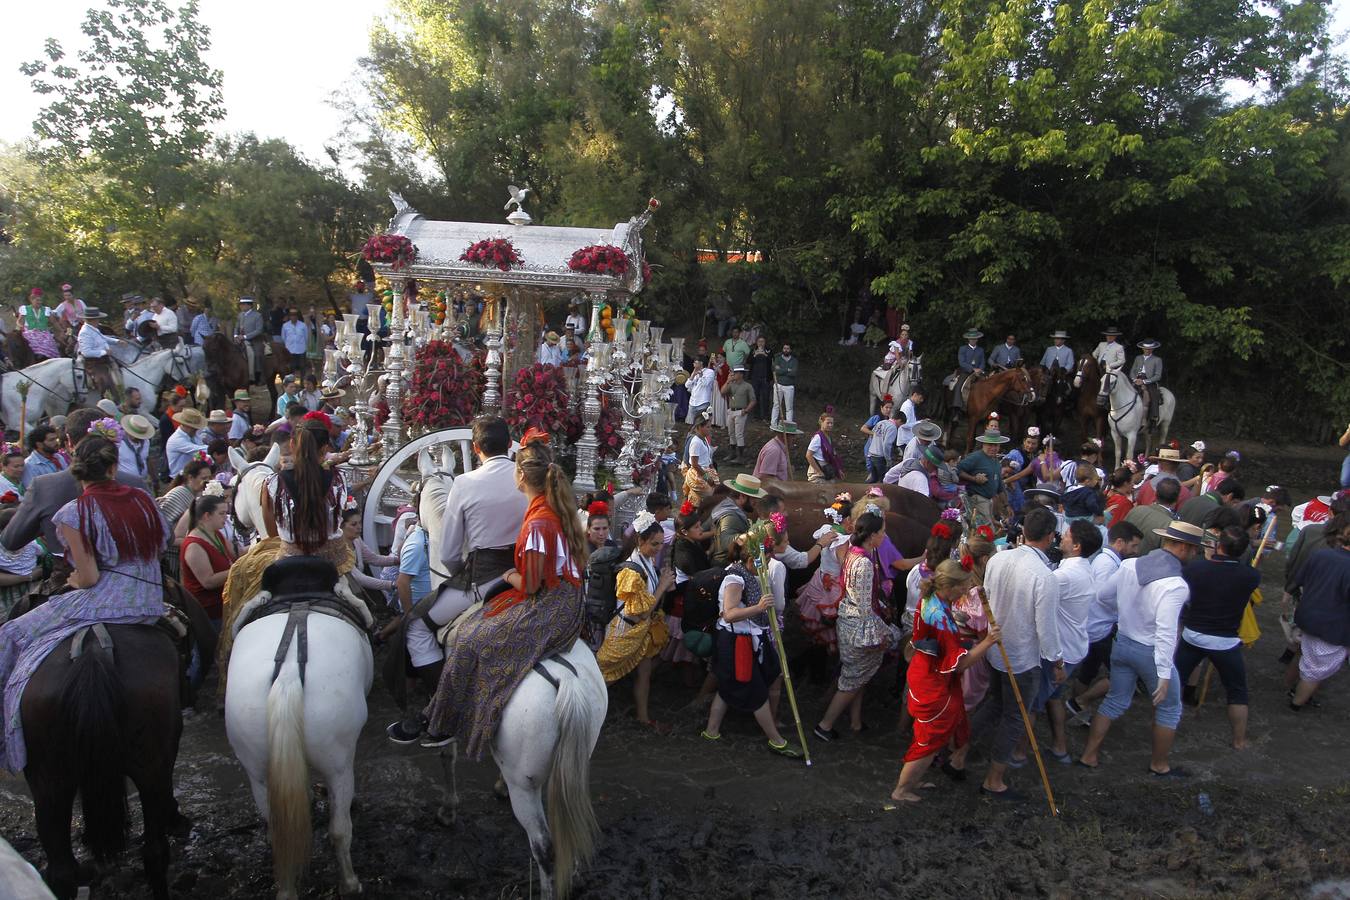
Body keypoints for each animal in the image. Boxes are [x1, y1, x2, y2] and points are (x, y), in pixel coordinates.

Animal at [225, 566, 375, 895]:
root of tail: (289, 675)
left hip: (257, 768)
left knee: (277, 832)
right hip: (337, 766)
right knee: (339, 829)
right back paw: (349, 883)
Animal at [415, 445, 612, 900]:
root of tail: (567, 685)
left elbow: (446, 750)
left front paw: (448, 809)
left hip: (529, 786)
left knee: (545, 846)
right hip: (569, 765)